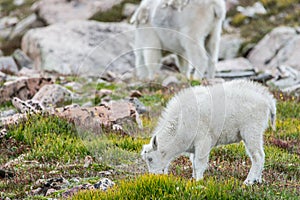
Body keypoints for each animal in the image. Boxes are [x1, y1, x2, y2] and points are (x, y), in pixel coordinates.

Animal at [142, 80, 276, 186]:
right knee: (261, 156)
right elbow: (193, 162)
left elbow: (199, 163)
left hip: (251, 130)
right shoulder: (194, 147)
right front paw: (194, 178)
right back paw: (258, 180)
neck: (180, 123)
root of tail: (267, 99)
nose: (154, 177)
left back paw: (249, 181)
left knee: (258, 156)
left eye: (150, 159)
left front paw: (198, 181)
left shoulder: (203, 141)